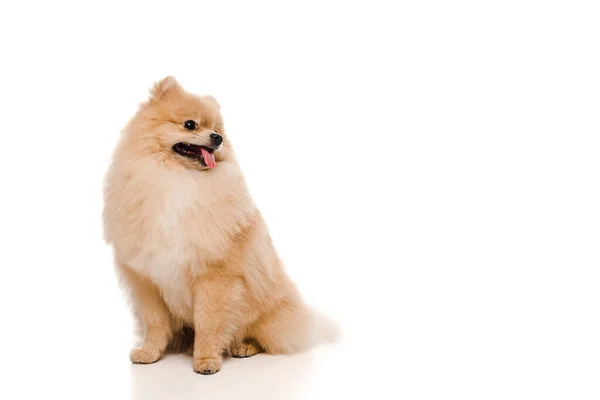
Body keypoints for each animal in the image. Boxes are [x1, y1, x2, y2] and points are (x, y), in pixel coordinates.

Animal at [103, 78, 328, 376]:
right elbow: (155, 323)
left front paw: (207, 360)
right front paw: (150, 353)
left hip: (266, 312)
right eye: (190, 124)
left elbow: (209, 322)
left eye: (217, 130)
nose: (217, 138)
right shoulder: (146, 280)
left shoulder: (214, 276)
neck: (177, 179)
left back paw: (242, 346)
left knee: (262, 337)